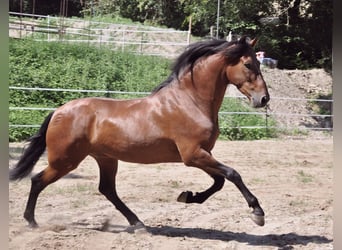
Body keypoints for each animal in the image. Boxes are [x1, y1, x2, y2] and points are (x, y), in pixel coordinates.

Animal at [9, 36, 270, 229]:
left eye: (259, 64)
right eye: (248, 64)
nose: (264, 99)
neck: (190, 101)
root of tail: (59, 110)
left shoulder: (201, 154)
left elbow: (219, 181)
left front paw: (188, 196)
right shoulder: (192, 154)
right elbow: (233, 174)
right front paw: (258, 213)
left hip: (105, 159)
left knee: (107, 190)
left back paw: (137, 223)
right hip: (65, 161)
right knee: (37, 180)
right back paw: (31, 222)